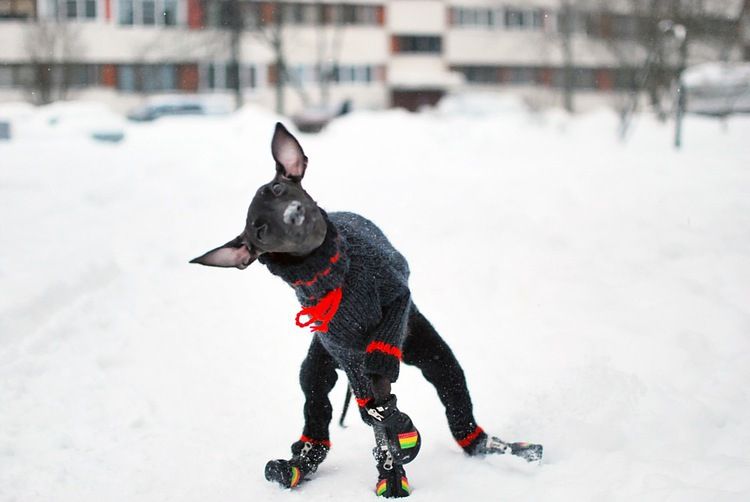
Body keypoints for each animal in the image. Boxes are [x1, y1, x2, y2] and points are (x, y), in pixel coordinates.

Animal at [188, 123, 540, 496]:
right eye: (261, 230)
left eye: (279, 188)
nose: (293, 212)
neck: (329, 273)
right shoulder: (340, 344)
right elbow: (373, 409)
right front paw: (390, 460)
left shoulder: (396, 295)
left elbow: (385, 368)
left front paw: (393, 443)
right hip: (321, 360)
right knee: (316, 395)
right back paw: (301, 464)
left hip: (420, 341)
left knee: (448, 378)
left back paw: (493, 447)